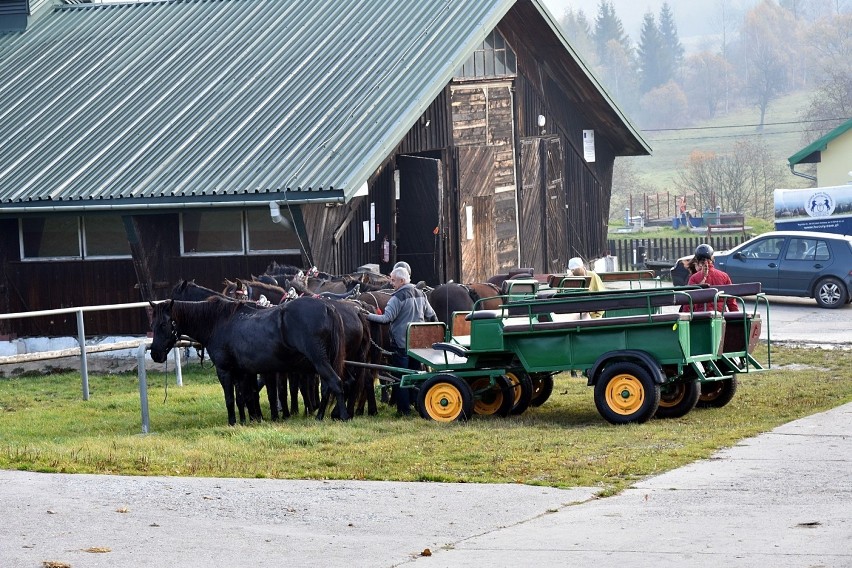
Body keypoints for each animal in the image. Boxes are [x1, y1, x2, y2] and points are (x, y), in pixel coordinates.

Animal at [148, 298, 348, 422]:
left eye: (163, 324)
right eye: (152, 324)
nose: (155, 354)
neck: (217, 323)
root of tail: (328, 307)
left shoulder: (225, 371)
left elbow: (230, 398)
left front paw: (232, 422)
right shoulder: (241, 372)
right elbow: (243, 397)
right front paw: (246, 421)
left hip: (319, 361)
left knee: (336, 383)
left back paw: (343, 416)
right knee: (328, 387)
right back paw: (320, 416)